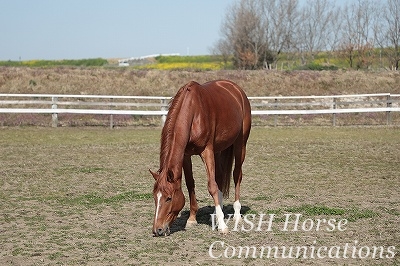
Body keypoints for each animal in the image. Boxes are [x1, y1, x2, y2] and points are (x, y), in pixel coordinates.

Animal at [150, 79, 250, 237]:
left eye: (168, 198)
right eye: (154, 197)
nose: (157, 230)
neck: (193, 112)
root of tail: (236, 89)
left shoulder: (206, 151)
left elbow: (212, 186)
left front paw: (222, 226)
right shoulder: (185, 155)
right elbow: (190, 183)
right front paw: (192, 219)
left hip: (240, 145)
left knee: (236, 176)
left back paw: (236, 215)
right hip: (218, 150)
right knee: (219, 177)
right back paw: (216, 213)